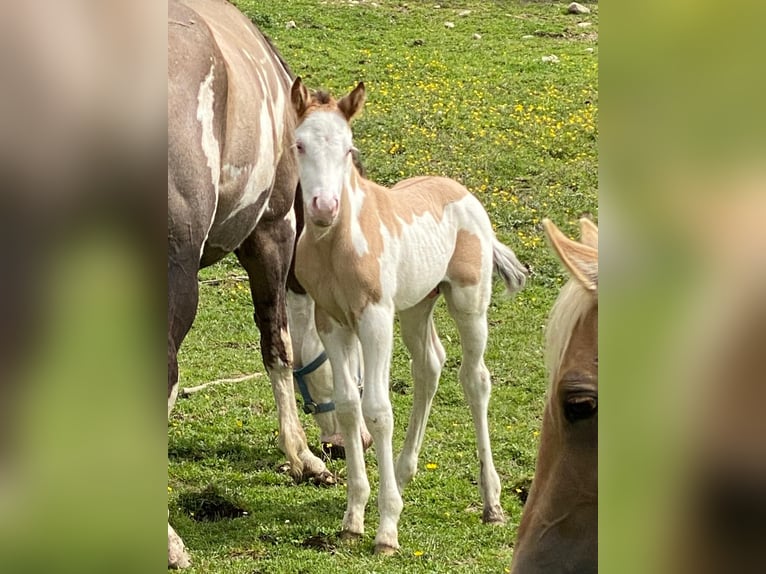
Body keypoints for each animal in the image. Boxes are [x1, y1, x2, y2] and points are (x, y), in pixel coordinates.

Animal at [288, 79, 528, 556]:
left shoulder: (375, 318)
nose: (324, 207)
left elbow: (378, 410)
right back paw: (400, 476)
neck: (338, 245)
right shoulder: (332, 322)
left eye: (348, 148)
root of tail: (462, 192)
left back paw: (491, 504)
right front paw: (353, 520)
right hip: (418, 305)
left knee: (475, 379)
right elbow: (348, 406)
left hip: (468, 302)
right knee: (429, 366)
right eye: (299, 144)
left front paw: (386, 531)